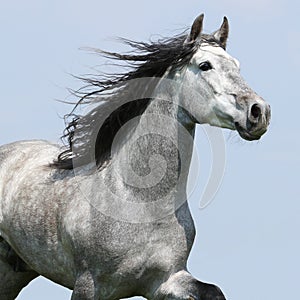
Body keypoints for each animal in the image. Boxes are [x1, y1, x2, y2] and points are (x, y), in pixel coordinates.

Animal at [0, 14, 270, 300]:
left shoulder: (165, 281)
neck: (139, 200)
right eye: (205, 65)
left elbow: (214, 291)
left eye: (237, 65)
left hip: (15, 271)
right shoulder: (88, 284)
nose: (259, 111)